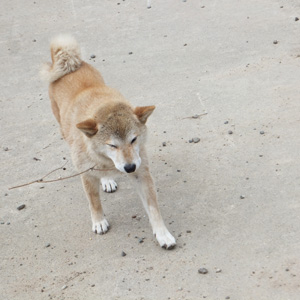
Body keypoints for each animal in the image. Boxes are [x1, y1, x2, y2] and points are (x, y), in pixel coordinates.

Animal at [42, 35, 177, 250]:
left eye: (133, 139)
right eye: (112, 145)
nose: (129, 167)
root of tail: (70, 65)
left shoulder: (142, 172)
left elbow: (153, 208)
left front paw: (162, 233)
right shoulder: (87, 175)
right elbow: (94, 202)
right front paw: (98, 221)